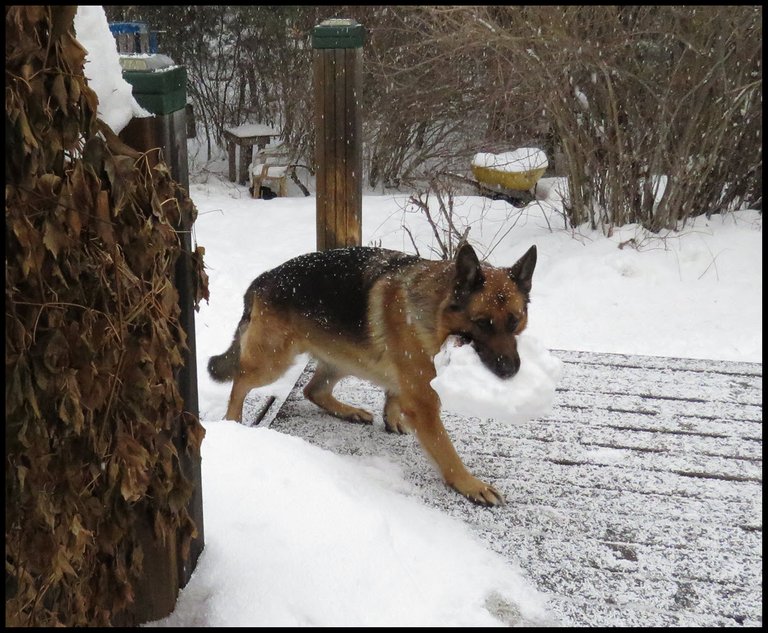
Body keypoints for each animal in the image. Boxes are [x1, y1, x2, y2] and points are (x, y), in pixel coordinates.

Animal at [207, 242, 536, 504]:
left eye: (514, 321)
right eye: (482, 323)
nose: (511, 370)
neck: (435, 310)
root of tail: (261, 279)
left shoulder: (408, 375)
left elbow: (395, 393)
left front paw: (392, 416)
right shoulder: (424, 401)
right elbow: (445, 449)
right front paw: (469, 484)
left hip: (345, 358)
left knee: (313, 390)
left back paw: (349, 411)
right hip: (274, 362)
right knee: (240, 381)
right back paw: (233, 421)